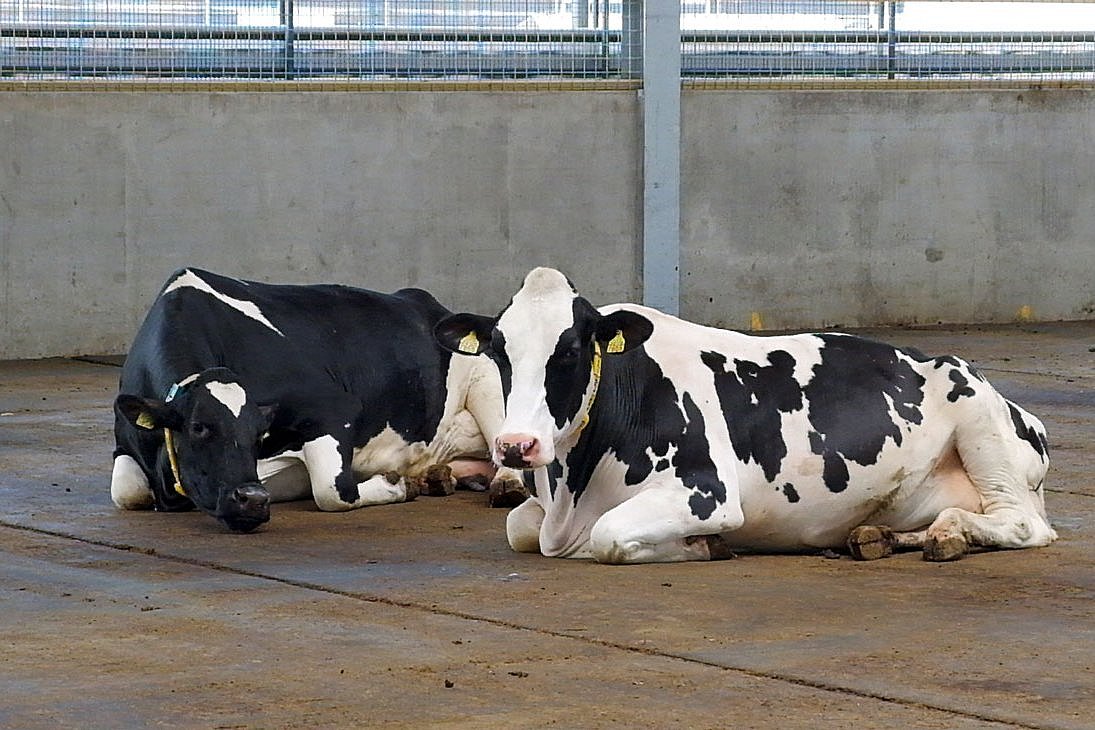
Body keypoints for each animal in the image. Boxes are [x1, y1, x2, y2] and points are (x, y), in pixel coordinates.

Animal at [113, 268, 523, 531]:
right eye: (199, 427)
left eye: (259, 432)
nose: (253, 499)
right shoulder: (125, 444)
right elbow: (128, 492)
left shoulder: (333, 407)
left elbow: (331, 490)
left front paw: (396, 485)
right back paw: (436, 477)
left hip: (490, 380)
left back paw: (505, 485)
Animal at [433, 268, 1051, 564]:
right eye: (499, 352)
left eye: (570, 351)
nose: (516, 446)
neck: (570, 489)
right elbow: (519, 529)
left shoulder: (705, 492)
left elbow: (607, 536)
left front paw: (703, 546)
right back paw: (880, 536)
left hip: (978, 422)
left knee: (1024, 524)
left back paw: (949, 535)